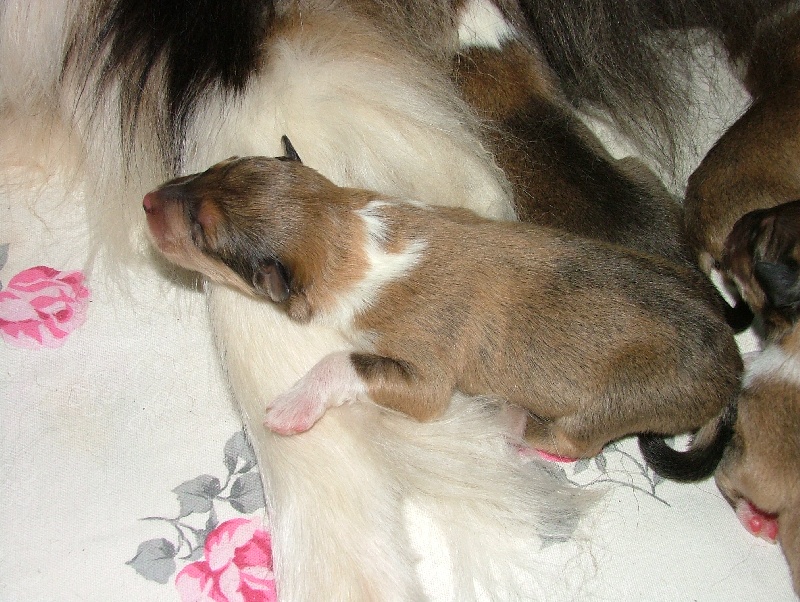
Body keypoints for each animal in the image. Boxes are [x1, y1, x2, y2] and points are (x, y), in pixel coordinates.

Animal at [143, 139, 743, 468]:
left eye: (201, 232)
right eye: (216, 166)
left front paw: (292, 405)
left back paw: (516, 426)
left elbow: (344, 360)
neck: (348, 232)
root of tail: (734, 368)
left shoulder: (424, 373)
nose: (146, 200)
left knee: (573, 443)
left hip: (613, 405)